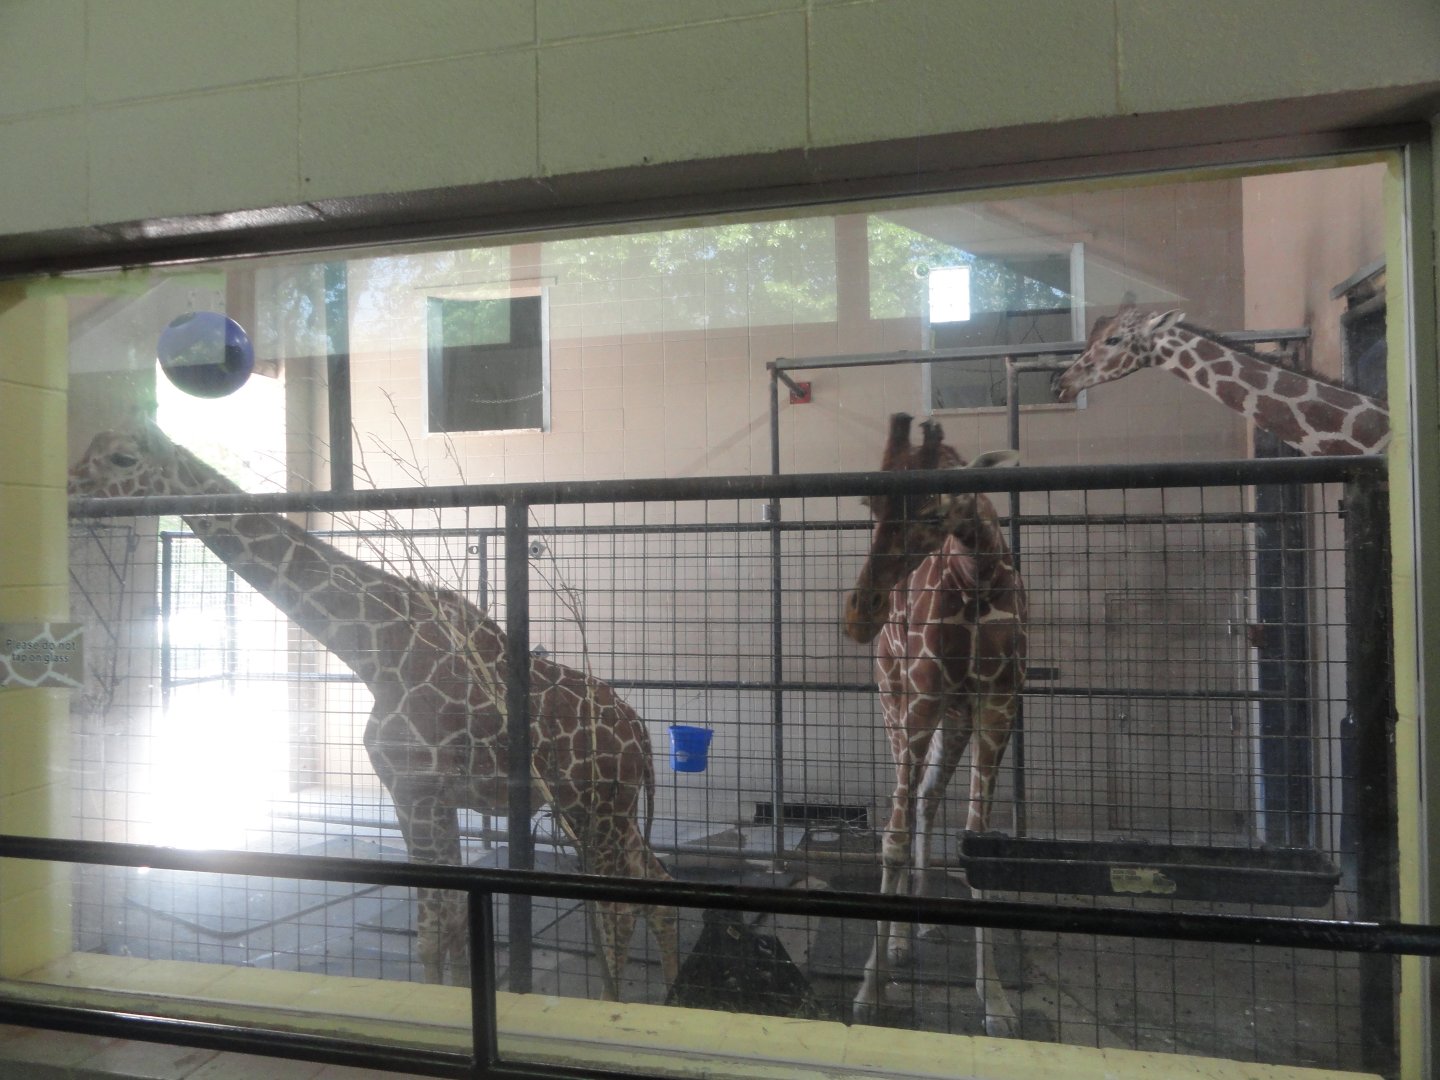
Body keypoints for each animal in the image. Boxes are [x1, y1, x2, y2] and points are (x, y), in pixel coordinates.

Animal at [68, 422, 679, 1000]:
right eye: (87, 448)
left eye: (122, 458)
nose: (71, 490)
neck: (374, 649)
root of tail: (643, 738)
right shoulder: (427, 797)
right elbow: (450, 922)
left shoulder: (414, 790)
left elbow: (433, 927)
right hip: (608, 813)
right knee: (655, 882)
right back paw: (669, 994)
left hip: (595, 809)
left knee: (618, 912)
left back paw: (618, 1002)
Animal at [842, 413, 1028, 1036]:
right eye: (872, 504)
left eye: (930, 513)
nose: (860, 615)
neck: (978, 576)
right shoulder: (921, 697)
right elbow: (891, 841)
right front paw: (870, 991)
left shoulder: (999, 704)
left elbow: (978, 849)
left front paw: (996, 1000)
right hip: (894, 700)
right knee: (904, 805)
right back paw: (898, 943)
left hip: (957, 719)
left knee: (926, 796)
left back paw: (919, 923)